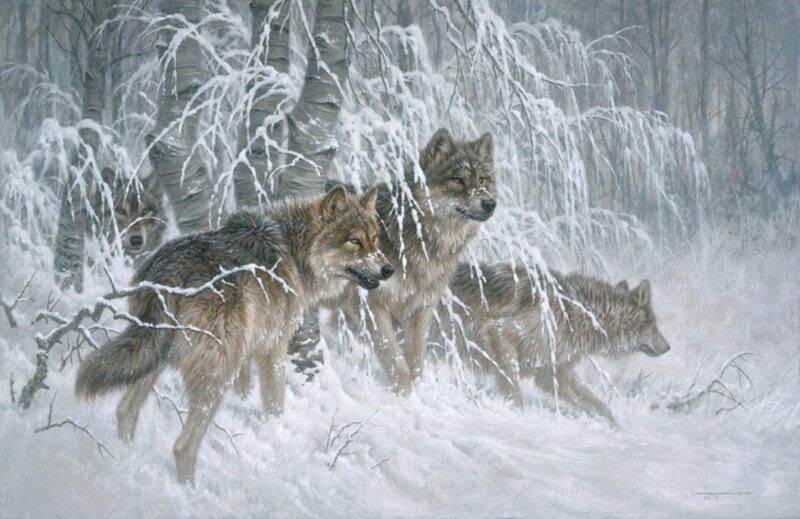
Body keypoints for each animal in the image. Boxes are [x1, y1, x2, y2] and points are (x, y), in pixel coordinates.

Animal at [75, 185, 393, 484]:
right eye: (354, 240)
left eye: (374, 239)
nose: (388, 268)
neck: (293, 250)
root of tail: (170, 271)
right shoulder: (272, 349)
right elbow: (274, 403)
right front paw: (275, 434)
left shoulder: (246, 351)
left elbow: (245, 390)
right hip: (215, 372)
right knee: (183, 446)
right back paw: (188, 491)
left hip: (155, 358)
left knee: (125, 411)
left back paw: (123, 458)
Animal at [322, 128, 497, 395]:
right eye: (457, 180)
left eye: (483, 180)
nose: (490, 204)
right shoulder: (370, 306)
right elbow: (396, 362)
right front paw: (404, 397)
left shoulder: (420, 308)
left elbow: (415, 363)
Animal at [446, 263, 670, 426]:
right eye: (653, 325)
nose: (668, 347)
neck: (578, 313)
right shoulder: (499, 333)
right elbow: (515, 393)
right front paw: (518, 416)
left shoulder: (554, 372)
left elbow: (598, 405)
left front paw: (615, 427)